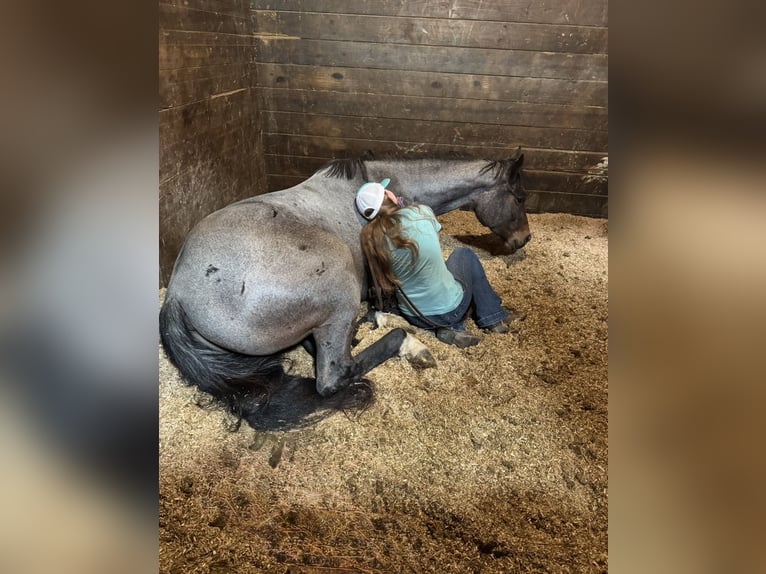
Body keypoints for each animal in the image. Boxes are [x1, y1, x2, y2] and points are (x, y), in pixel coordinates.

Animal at [159, 150, 531, 429]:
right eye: (519, 197)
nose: (524, 239)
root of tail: (177, 295)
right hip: (339, 285)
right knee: (335, 376)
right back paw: (409, 345)